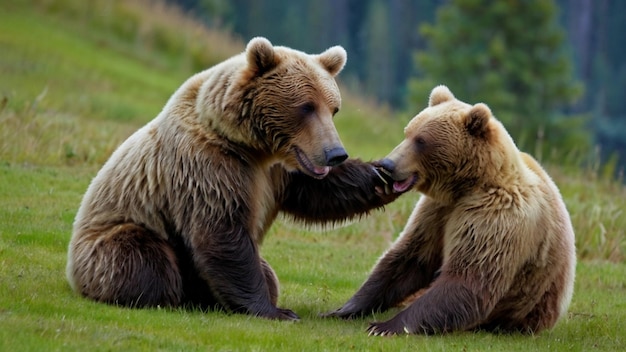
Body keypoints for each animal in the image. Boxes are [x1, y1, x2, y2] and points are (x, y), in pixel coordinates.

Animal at [67, 37, 394, 320]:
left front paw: (381, 174)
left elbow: (319, 193)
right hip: (107, 238)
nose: (335, 153)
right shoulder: (209, 166)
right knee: (143, 256)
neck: (250, 144)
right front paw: (276, 311)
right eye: (306, 106)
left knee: (268, 273)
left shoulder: (278, 172)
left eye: (333, 108)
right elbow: (222, 231)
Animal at [326, 85, 576, 336]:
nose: (387, 165)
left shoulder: (495, 217)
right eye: (408, 132)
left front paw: (385, 326)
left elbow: (467, 277)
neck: (468, 186)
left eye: (421, 141)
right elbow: (411, 257)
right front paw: (343, 309)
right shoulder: (438, 209)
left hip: (527, 308)